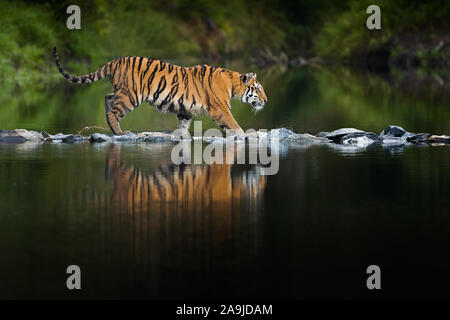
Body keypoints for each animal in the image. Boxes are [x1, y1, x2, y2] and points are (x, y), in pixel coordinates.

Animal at [52, 48, 268, 136]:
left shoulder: (185, 110)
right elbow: (233, 123)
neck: (233, 83)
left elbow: (183, 126)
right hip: (130, 95)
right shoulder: (220, 108)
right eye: (258, 89)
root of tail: (116, 60)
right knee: (114, 110)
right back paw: (119, 131)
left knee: (107, 97)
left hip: (121, 91)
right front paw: (243, 134)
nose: (266, 100)